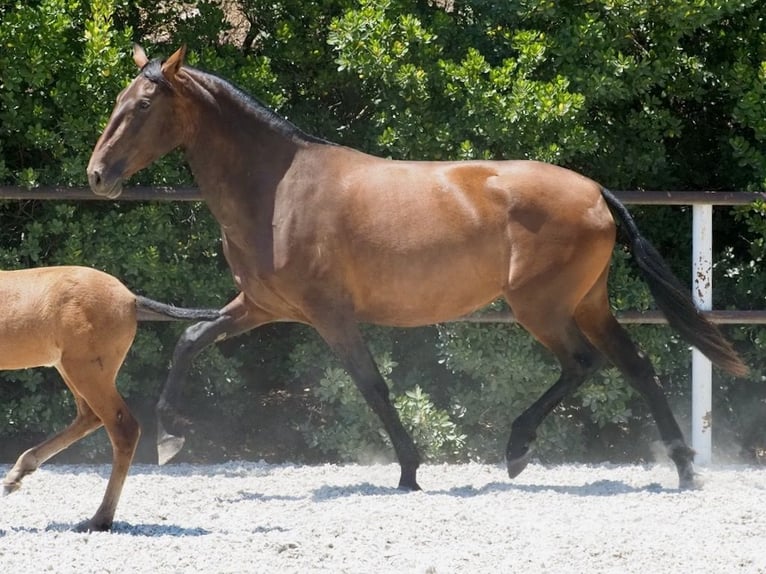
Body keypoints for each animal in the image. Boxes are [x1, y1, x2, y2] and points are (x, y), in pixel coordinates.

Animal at [1, 268, 220, 532]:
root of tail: (131, 299)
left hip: (86, 369)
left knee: (122, 427)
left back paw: (100, 519)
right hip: (73, 367)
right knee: (90, 416)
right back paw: (17, 475)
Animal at [85, 47, 752, 492]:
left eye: (141, 106)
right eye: (115, 102)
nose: (97, 174)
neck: (278, 189)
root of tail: (594, 192)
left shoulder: (329, 315)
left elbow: (372, 386)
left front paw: (409, 469)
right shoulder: (263, 305)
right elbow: (192, 339)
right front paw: (171, 436)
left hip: (541, 306)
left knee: (583, 364)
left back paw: (518, 448)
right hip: (587, 301)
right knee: (635, 366)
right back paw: (683, 467)